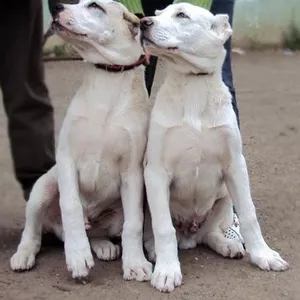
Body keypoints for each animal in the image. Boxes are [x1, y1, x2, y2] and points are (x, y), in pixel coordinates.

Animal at [10, 0, 152, 282]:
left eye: (95, 5)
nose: (55, 6)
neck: (107, 80)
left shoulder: (132, 172)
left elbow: (134, 224)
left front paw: (135, 263)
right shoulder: (66, 160)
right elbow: (71, 207)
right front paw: (77, 256)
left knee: (98, 231)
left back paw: (104, 246)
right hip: (42, 189)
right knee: (34, 230)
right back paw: (24, 254)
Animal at [141, 2, 288, 292]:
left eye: (182, 15)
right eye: (158, 12)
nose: (142, 23)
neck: (193, 84)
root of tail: (189, 234)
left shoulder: (235, 165)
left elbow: (250, 214)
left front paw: (263, 255)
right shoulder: (156, 172)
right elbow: (163, 227)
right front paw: (167, 270)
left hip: (224, 196)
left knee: (209, 233)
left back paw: (227, 245)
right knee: (159, 230)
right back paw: (155, 249)